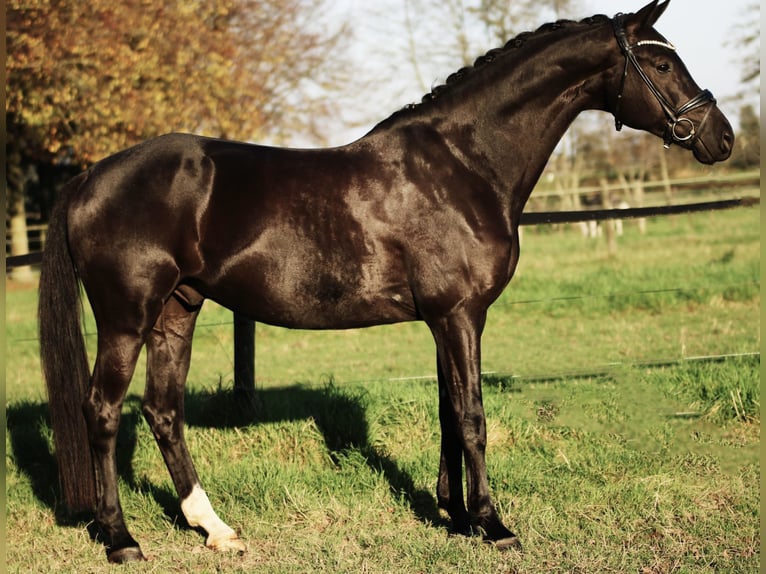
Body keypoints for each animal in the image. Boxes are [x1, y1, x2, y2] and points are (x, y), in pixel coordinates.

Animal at [39, 2, 736, 564]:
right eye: (661, 62)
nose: (722, 137)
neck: (464, 165)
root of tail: (89, 178)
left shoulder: (446, 319)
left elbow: (449, 409)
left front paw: (454, 516)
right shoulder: (460, 314)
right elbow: (473, 414)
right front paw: (494, 525)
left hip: (177, 310)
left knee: (163, 411)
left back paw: (215, 529)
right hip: (128, 318)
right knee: (103, 411)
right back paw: (122, 539)